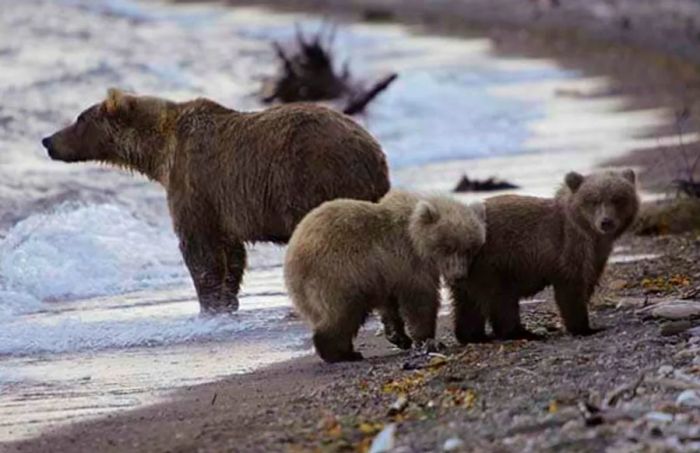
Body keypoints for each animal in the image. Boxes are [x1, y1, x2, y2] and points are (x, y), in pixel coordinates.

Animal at [43, 88, 392, 314]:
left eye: (79, 118)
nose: (47, 140)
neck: (159, 153)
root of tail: (371, 150)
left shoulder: (192, 181)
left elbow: (199, 248)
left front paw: (208, 307)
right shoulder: (220, 203)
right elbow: (231, 251)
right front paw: (227, 301)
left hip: (311, 178)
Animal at [284, 189, 486, 362]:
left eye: (469, 249)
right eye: (447, 246)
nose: (459, 275)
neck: (416, 238)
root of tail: (293, 253)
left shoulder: (386, 273)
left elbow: (390, 304)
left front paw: (399, 337)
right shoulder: (408, 262)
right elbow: (420, 301)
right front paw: (428, 339)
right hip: (338, 273)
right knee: (343, 312)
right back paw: (341, 353)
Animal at [452, 170, 636, 342]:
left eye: (617, 199)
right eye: (594, 200)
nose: (606, 222)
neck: (589, 233)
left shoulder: (596, 256)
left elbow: (588, 280)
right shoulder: (566, 248)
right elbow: (571, 287)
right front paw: (584, 328)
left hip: (468, 269)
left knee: (467, 303)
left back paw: (473, 336)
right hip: (492, 261)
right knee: (501, 298)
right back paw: (522, 333)